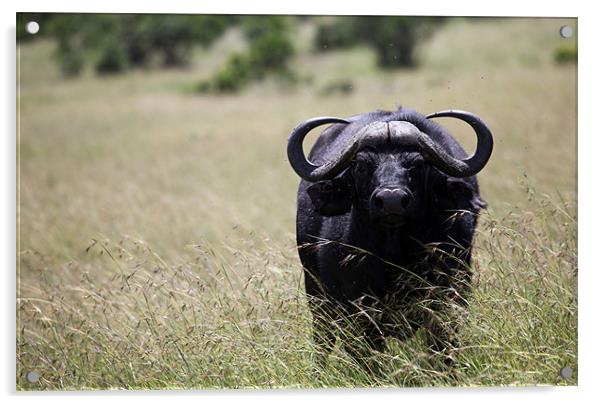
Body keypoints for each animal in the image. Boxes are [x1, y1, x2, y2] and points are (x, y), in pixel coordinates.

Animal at [286, 107, 492, 362]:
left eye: (418, 164)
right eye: (360, 165)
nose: (391, 200)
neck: (393, 258)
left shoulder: (447, 302)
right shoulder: (358, 315)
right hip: (317, 298)